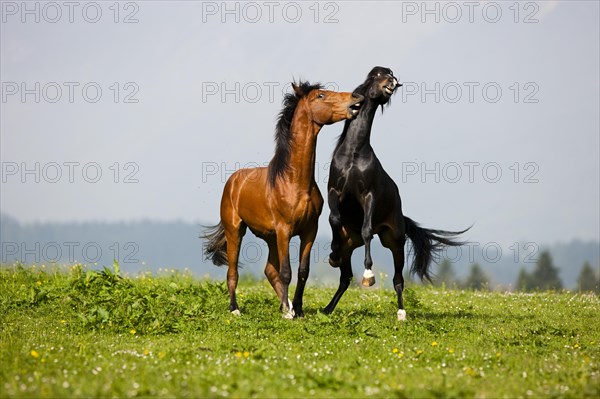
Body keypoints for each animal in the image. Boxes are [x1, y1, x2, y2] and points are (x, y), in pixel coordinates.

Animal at [203, 83, 360, 320]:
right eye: (320, 95)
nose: (356, 98)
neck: (294, 182)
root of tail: (233, 181)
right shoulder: (285, 230)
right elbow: (287, 272)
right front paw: (289, 313)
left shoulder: (309, 231)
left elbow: (303, 271)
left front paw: (298, 310)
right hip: (235, 231)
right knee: (233, 271)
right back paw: (235, 308)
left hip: (270, 238)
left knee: (269, 270)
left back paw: (285, 306)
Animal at [324, 66, 468, 322]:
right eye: (376, 75)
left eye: (390, 74)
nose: (392, 82)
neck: (353, 155)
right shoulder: (334, 191)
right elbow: (334, 218)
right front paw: (332, 253)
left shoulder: (368, 196)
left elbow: (367, 230)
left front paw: (369, 275)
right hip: (352, 245)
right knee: (345, 278)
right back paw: (327, 308)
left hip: (395, 242)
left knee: (398, 279)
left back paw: (401, 313)